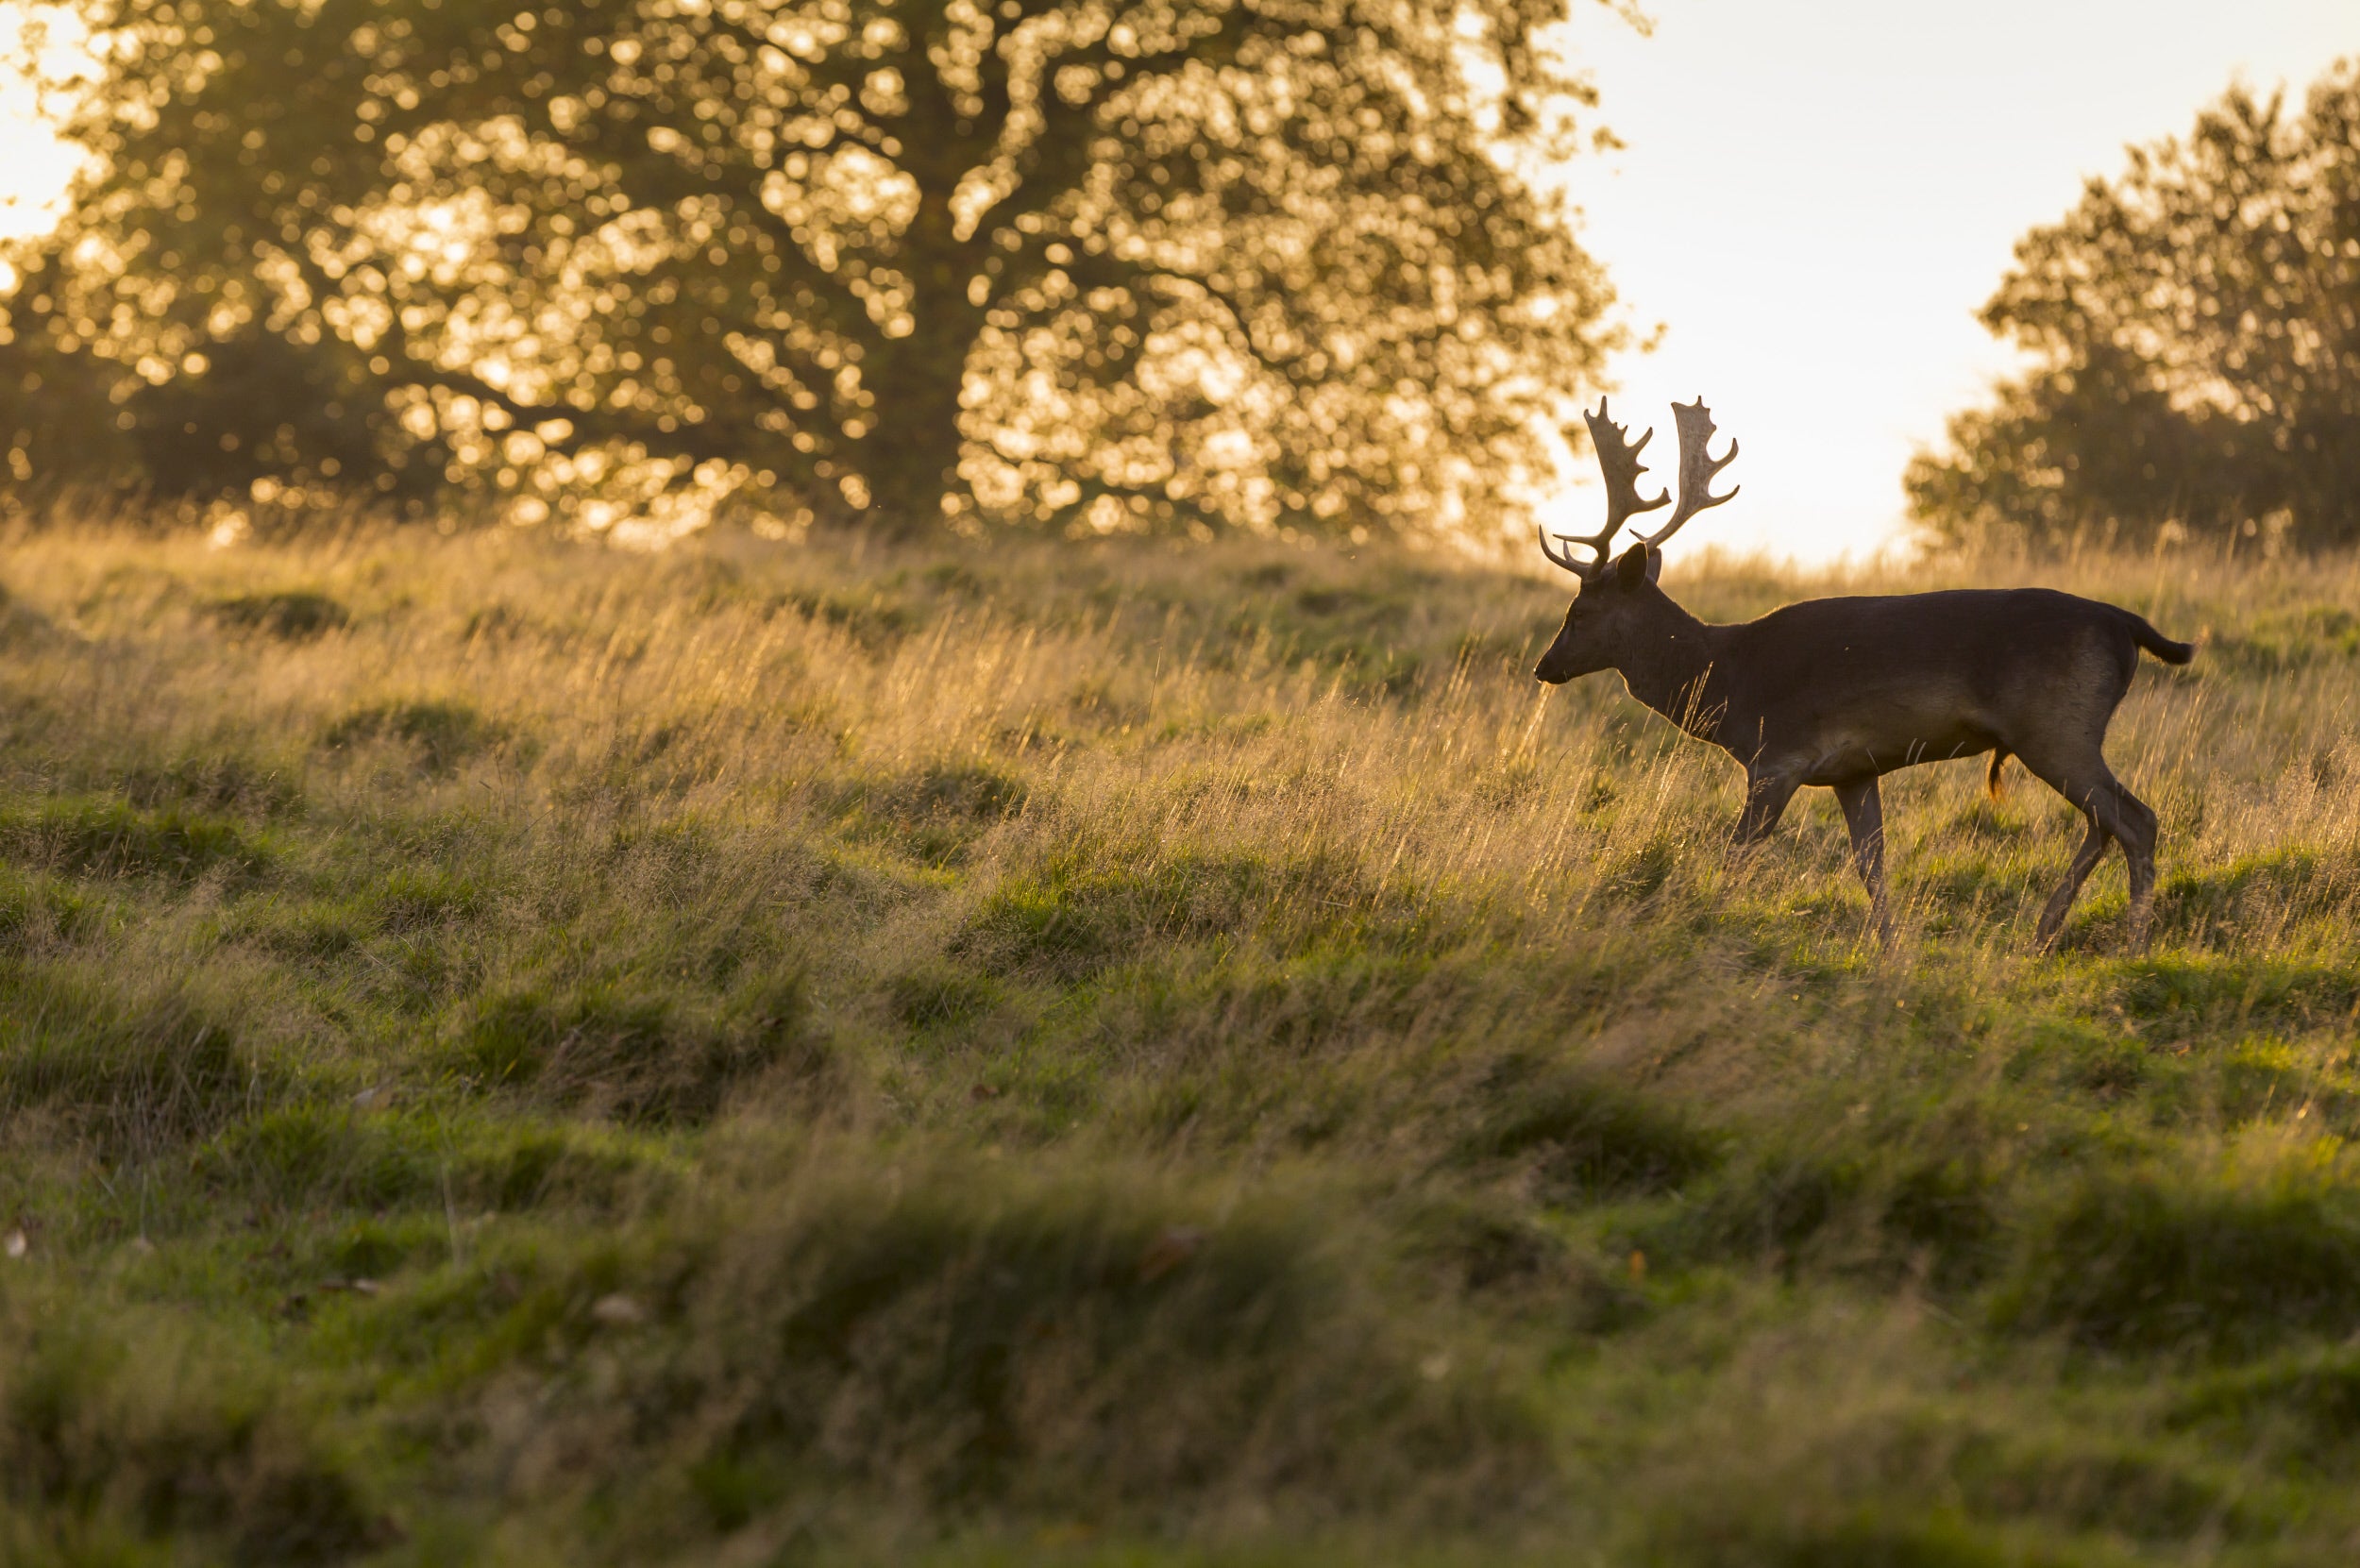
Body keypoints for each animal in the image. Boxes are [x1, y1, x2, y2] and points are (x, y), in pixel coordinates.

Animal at [1532, 396, 2193, 950]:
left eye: (1579, 612)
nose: (1545, 667)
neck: (1727, 684)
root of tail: (2125, 624)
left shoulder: (1777, 757)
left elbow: (1736, 854)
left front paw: (1702, 921)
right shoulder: (1854, 771)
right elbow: (1870, 866)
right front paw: (1889, 949)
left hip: (2056, 727)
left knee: (2136, 821)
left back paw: (2132, 946)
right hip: (2064, 734)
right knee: (2104, 825)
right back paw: (2044, 930)